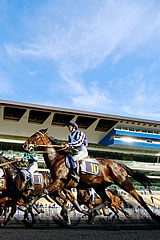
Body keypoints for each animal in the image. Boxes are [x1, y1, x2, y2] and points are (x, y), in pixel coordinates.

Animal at [23, 129, 160, 225]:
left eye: (35, 136)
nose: (25, 145)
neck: (57, 159)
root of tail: (117, 164)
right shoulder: (66, 186)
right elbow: (73, 203)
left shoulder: (58, 183)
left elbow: (42, 192)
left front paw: (28, 206)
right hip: (100, 187)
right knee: (107, 201)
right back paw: (94, 212)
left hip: (124, 182)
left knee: (139, 199)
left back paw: (154, 216)